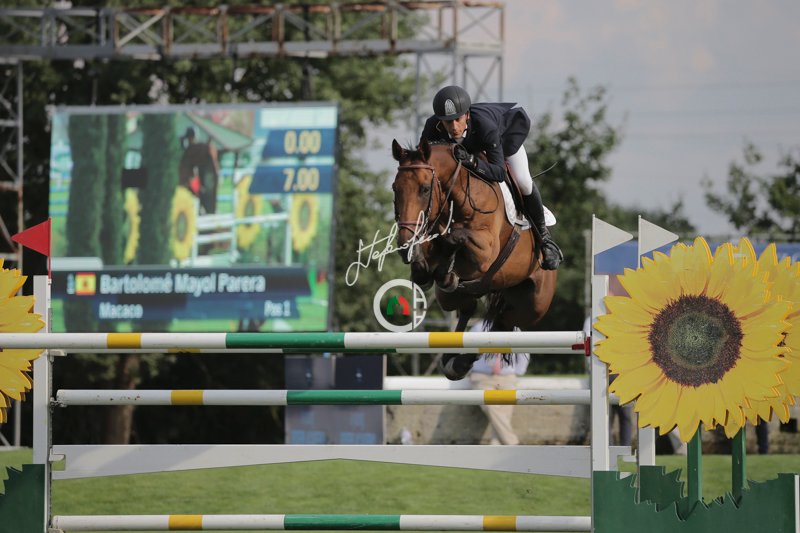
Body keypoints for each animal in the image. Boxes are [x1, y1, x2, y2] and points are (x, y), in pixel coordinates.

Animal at [391, 138, 557, 380]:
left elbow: (454, 237)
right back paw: (452, 359)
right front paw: (426, 263)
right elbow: (427, 265)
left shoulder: (485, 251)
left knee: (502, 324)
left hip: (532, 307)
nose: (405, 244)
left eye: (424, 189)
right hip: (451, 298)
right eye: (395, 188)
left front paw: (446, 265)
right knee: (469, 308)